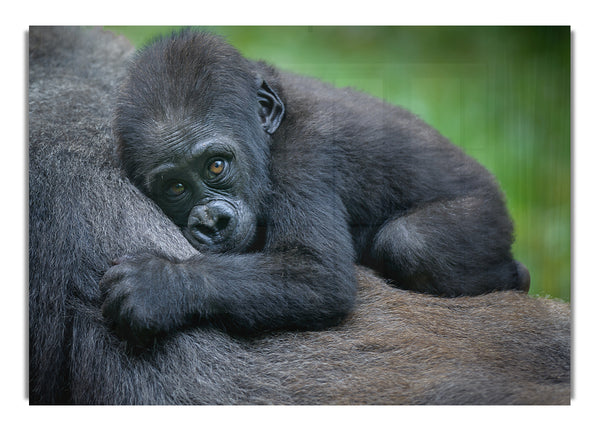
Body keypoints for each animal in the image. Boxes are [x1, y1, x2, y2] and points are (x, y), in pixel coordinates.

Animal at [103, 30, 528, 348]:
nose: (211, 222)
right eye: (175, 187)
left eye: (216, 165)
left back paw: (518, 278)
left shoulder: (305, 155)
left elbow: (319, 276)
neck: (271, 129)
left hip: (487, 215)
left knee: (412, 242)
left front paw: (163, 284)